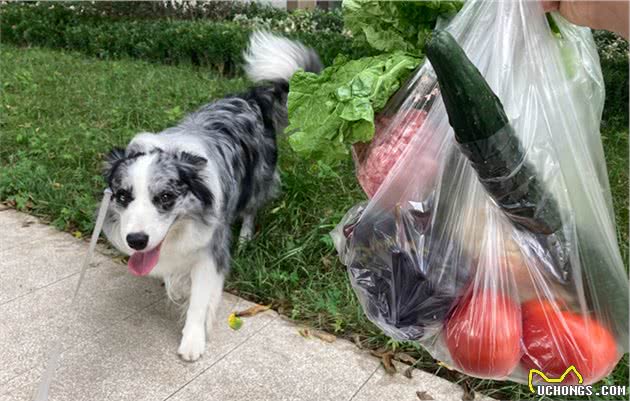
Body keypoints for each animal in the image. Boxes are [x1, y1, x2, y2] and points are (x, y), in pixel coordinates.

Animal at [103, 32, 324, 360]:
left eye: (166, 196)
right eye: (122, 196)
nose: (136, 241)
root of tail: (250, 98)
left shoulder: (211, 248)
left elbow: (200, 297)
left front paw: (192, 340)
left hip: (257, 179)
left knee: (251, 209)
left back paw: (245, 237)